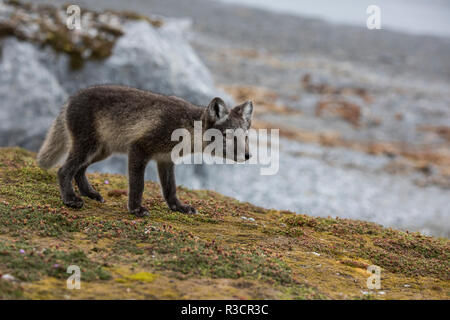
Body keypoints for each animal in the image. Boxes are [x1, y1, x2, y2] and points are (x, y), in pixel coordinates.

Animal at [36, 84, 253, 218]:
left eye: (246, 137)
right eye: (229, 136)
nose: (248, 156)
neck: (185, 128)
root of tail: (70, 100)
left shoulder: (165, 160)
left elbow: (170, 189)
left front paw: (178, 207)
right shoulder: (139, 149)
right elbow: (138, 185)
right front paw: (135, 209)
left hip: (101, 151)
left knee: (79, 170)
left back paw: (90, 194)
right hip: (87, 147)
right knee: (64, 170)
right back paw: (71, 199)